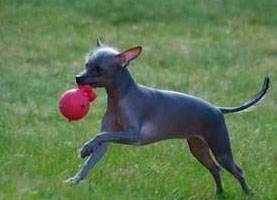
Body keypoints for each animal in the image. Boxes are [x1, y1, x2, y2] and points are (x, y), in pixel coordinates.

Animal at [63, 38, 268, 195]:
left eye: (98, 69)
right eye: (86, 64)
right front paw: (75, 178)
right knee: (215, 169)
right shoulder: (108, 143)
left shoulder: (133, 136)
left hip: (221, 149)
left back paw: (248, 192)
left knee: (237, 170)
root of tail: (217, 109)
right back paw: (219, 193)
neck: (119, 99)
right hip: (198, 149)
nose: (78, 78)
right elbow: (90, 160)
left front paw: (85, 148)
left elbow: (100, 135)